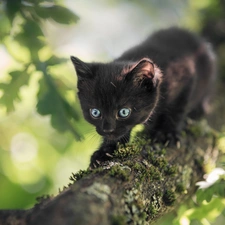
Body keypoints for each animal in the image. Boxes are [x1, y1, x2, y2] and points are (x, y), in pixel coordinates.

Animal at [71, 26, 215, 167]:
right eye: (95, 112)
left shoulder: (187, 77)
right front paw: (105, 151)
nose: (108, 129)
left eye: (124, 112)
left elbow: (177, 110)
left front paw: (168, 134)